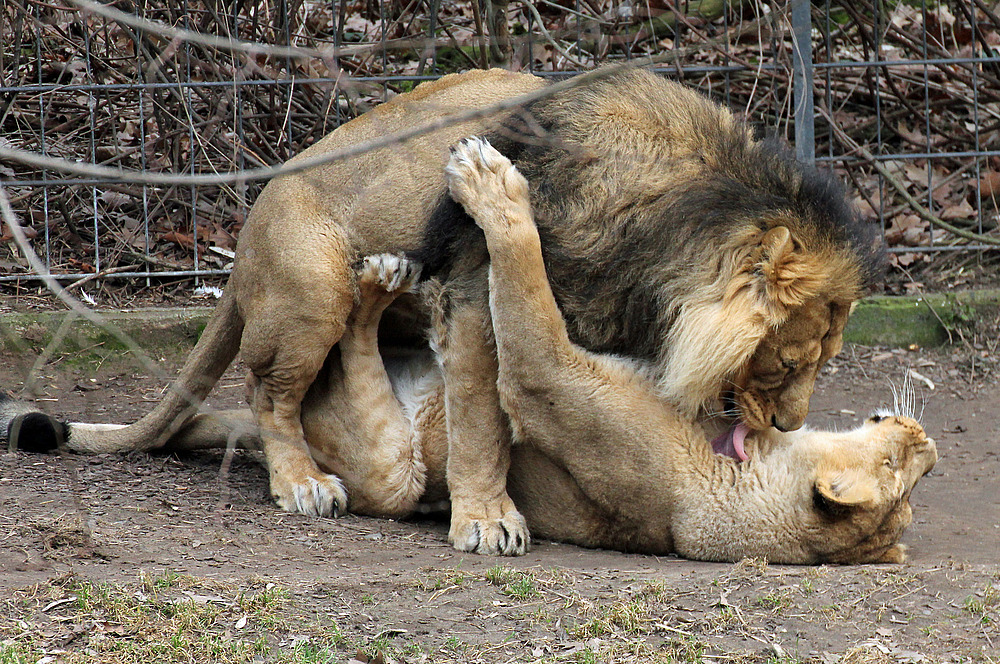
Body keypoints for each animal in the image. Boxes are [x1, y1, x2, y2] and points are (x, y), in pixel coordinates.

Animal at [7, 66, 884, 556]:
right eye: (788, 361)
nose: (787, 426)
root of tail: (251, 219)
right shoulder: (472, 292)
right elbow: (481, 415)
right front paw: (486, 518)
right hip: (313, 282)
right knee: (269, 394)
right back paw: (302, 482)